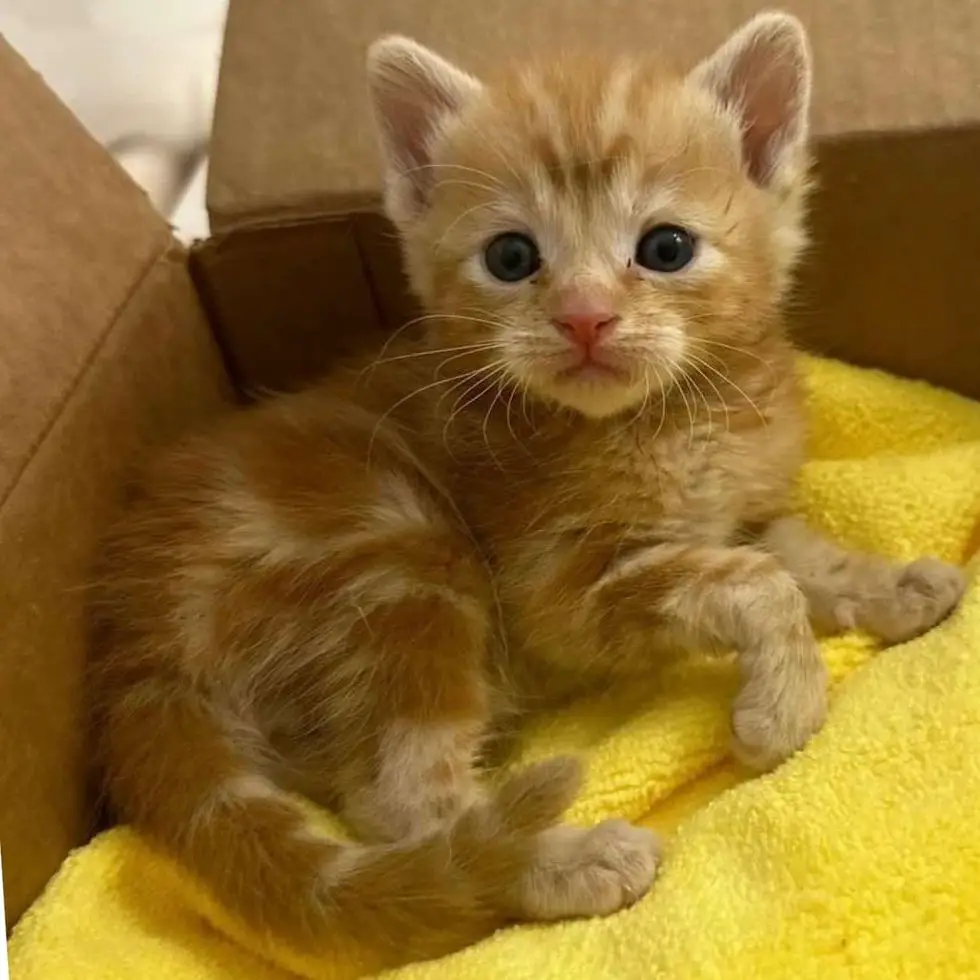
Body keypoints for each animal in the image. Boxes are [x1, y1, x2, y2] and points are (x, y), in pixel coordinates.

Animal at [90, 13, 964, 972]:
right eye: (512, 257)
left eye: (665, 248)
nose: (584, 317)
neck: (671, 422)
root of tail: (140, 648)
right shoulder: (557, 590)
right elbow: (755, 583)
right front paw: (786, 708)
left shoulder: (733, 512)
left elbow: (794, 552)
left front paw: (888, 584)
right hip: (402, 556)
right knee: (399, 800)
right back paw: (557, 861)